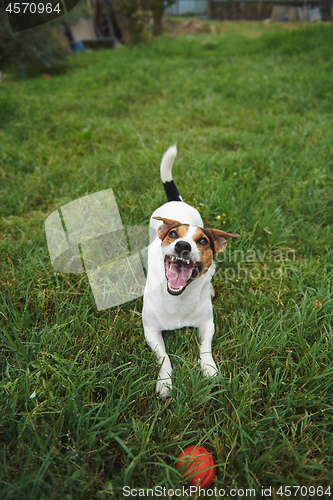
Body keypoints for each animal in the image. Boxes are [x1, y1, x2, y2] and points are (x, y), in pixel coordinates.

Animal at [141, 145, 239, 398]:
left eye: (203, 241)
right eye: (173, 235)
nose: (182, 246)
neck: (179, 297)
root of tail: (176, 201)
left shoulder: (208, 324)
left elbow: (205, 348)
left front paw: (209, 369)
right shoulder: (150, 331)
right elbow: (163, 357)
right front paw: (165, 381)